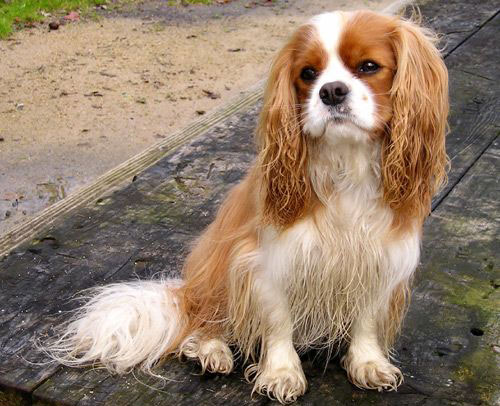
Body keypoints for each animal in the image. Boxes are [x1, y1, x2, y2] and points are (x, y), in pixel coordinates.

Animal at [45, 8, 448, 402]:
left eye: (368, 66)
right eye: (308, 73)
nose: (331, 91)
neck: (344, 163)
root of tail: (188, 292)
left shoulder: (380, 258)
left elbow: (366, 317)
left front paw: (367, 362)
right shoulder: (264, 260)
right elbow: (279, 321)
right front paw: (282, 372)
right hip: (218, 268)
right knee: (205, 322)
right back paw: (211, 350)